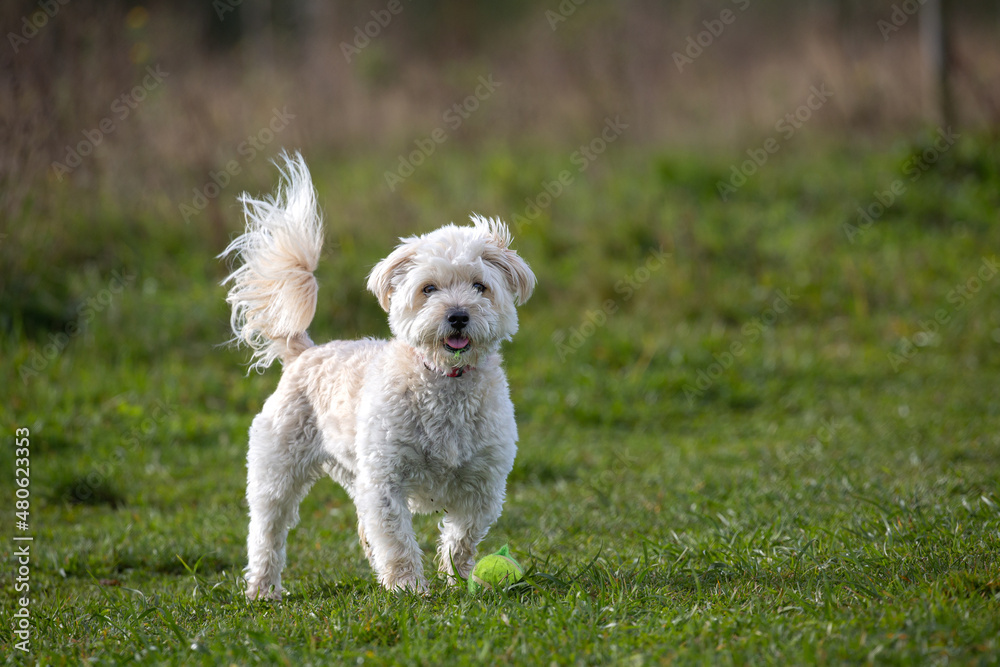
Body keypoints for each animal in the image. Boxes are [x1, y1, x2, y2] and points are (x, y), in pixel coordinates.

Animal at [218, 153, 532, 600]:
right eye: (428, 289)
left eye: (479, 286)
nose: (457, 315)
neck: (445, 382)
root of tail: (305, 352)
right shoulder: (385, 480)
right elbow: (397, 538)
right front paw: (409, 587)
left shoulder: (484, 484)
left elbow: (462, 538)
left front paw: (457, 578)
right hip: (277, 470)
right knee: (267, 532)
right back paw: (263, 589)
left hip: (352, 470)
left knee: (362, 526)